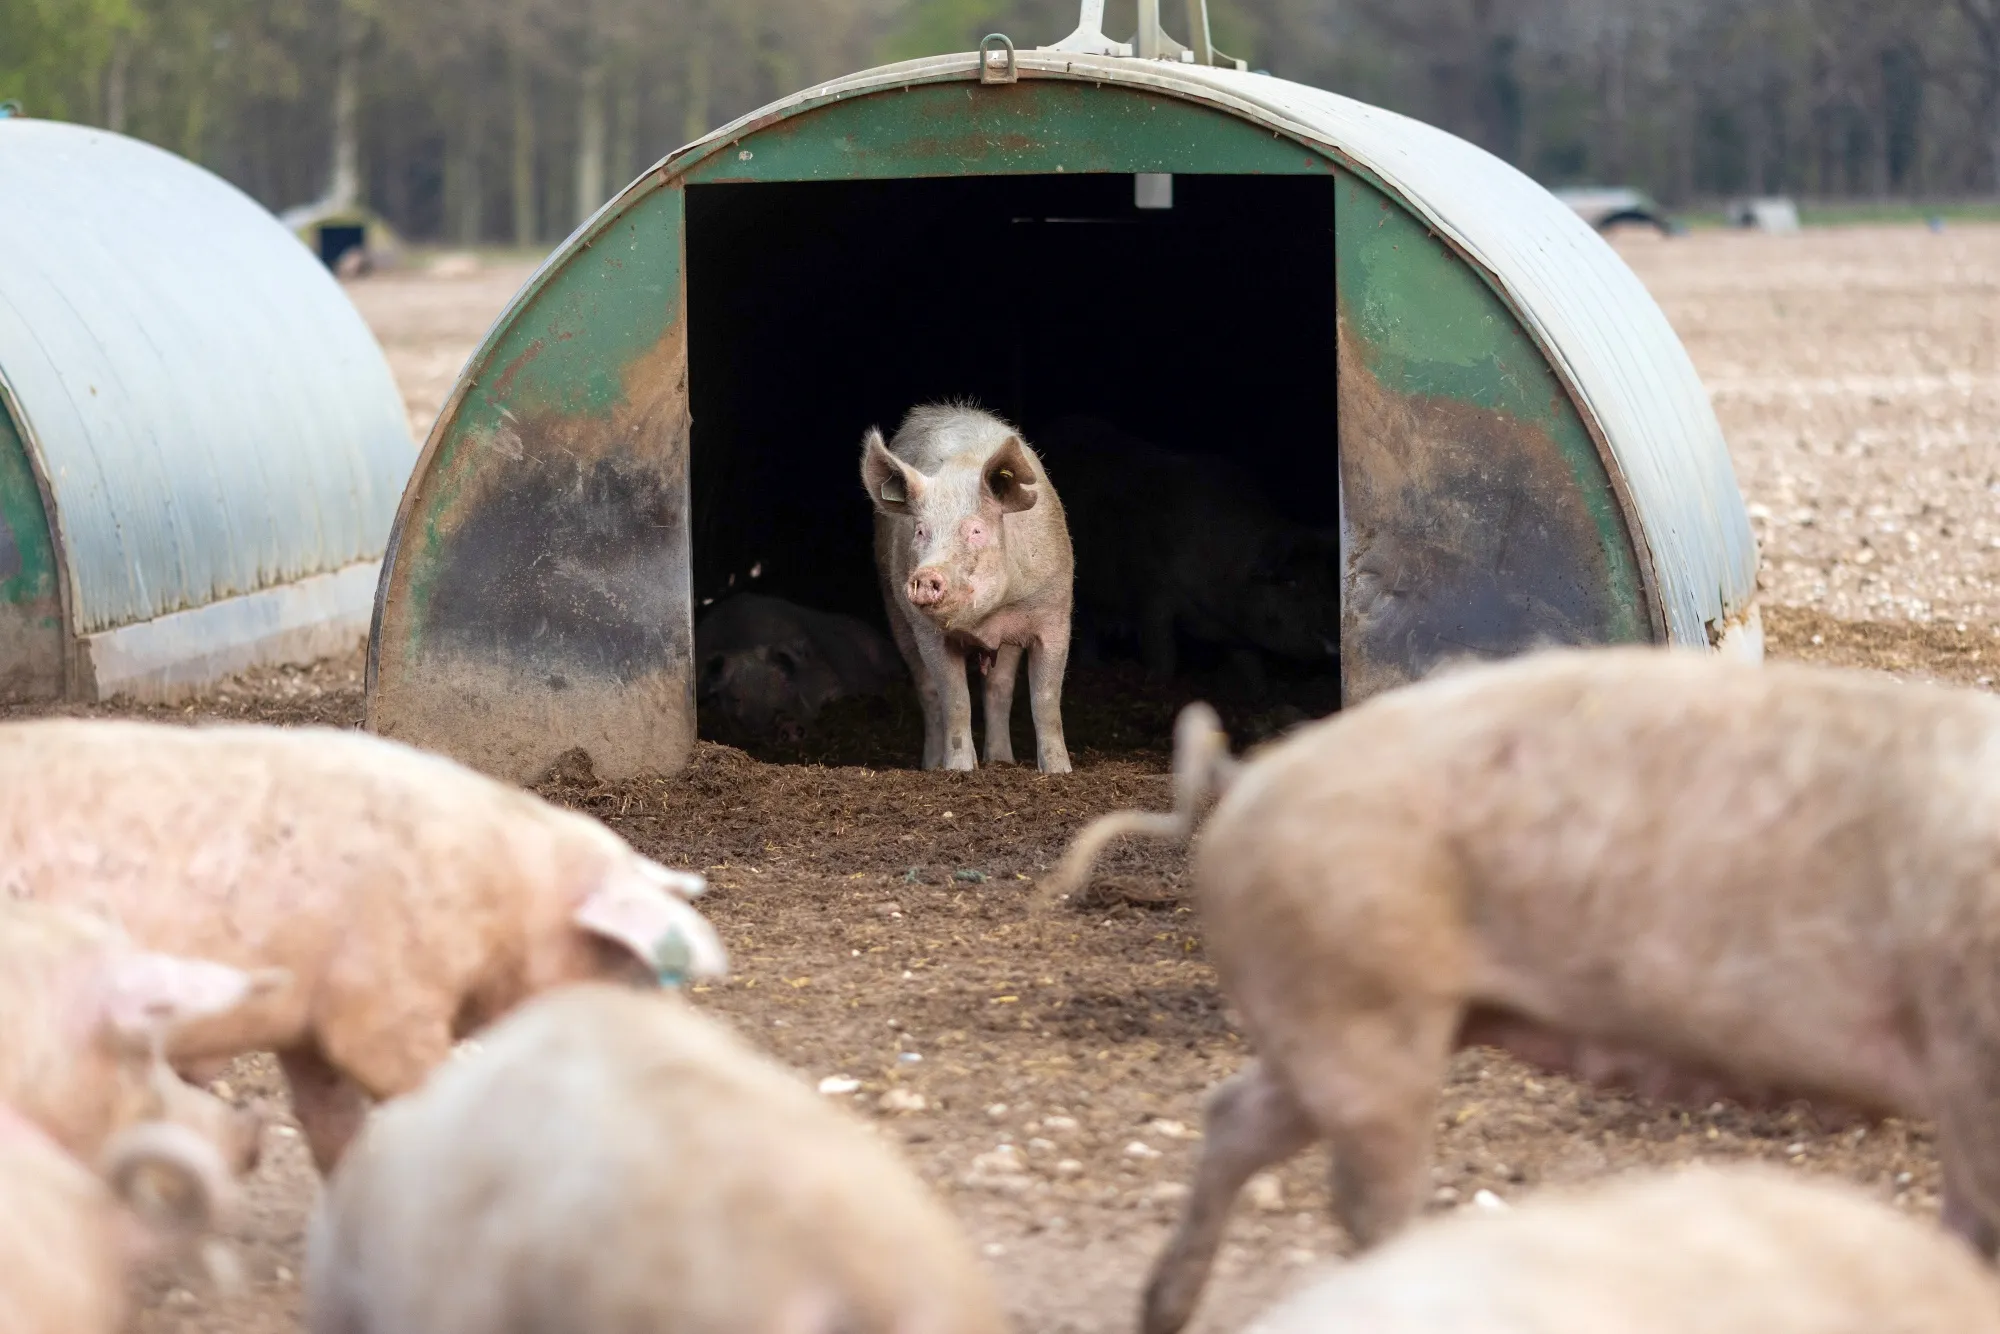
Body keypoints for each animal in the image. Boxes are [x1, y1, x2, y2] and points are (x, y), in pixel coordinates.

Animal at [861, 403, 1074, 773]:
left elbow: (1045, 700)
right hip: (896, 611)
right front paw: (959, 770)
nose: (926, 575)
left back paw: (1001, 760)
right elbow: (956, 700)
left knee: (999, 688)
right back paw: (933, 765)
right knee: (928, 692)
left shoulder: (1054, 614)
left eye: (975, 530)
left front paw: (1059, 772)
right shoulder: (928, 634)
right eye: (920, 530)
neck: (984, 620)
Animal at [1037, 416, 1340, 692]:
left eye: (1324, 578)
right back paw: (1093, 667)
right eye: (1291, 581)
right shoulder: (1152, 594)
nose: (1336, 631)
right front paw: (1157, 683)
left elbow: (1248, 659)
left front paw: (1260, 694)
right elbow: (1162, 647)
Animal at [1038, 647, 2000, 1334]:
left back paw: (1162, 1313)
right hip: (1362, 1003)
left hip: (1336, 1009)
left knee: (1233, 1117)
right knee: (1358, 1191)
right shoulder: (1970, 1054)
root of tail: (1246, 778)